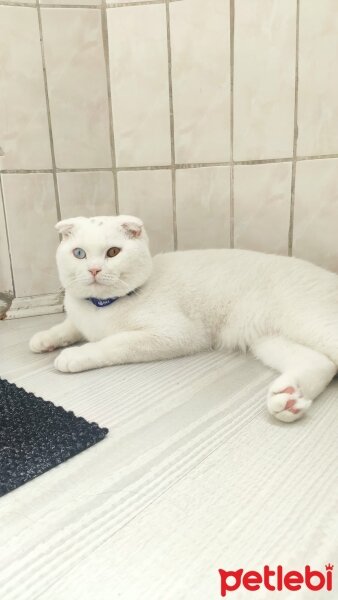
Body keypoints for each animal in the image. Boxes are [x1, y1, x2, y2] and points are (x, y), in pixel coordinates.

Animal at [29, 216, 338, 422]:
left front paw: (76, 355)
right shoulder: (79, 318)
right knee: (322, 363)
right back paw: (289, 400)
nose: (93, 270)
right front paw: (44, 339)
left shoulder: (175, 333)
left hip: (309, 323)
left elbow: (114, 343)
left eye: (113, 252)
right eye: (79, 253)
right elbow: (68, 326)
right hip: (267, 340)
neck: (101, 307)